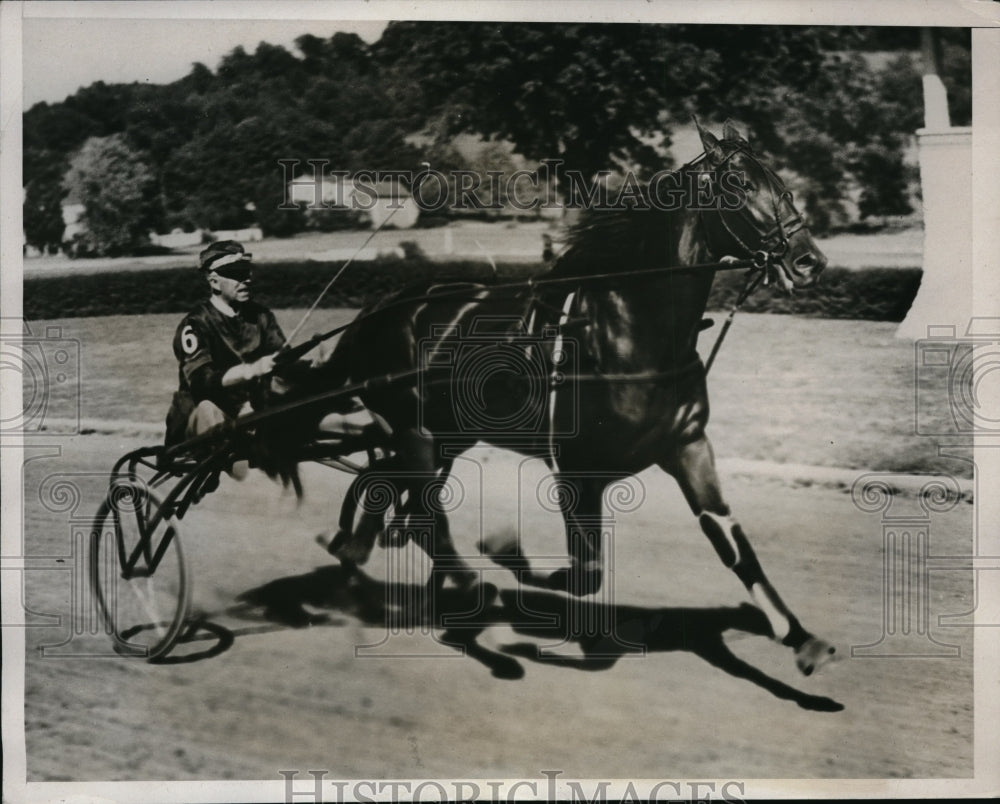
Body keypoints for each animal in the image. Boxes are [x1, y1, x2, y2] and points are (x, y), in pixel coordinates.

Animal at [308, 122, 832, 676]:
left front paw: (798, 636)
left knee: (396, 496)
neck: (625, 330)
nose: (809, 261)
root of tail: (380, 309)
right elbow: (586, 572)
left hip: (446, 434)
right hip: (417, 432)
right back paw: (465, 588)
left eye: (780, 181)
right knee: (422, 514)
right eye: (739, 184)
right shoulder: (578, 470)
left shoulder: (687, 446)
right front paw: (507, 558)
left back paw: (364, 552)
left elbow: (730, 541)